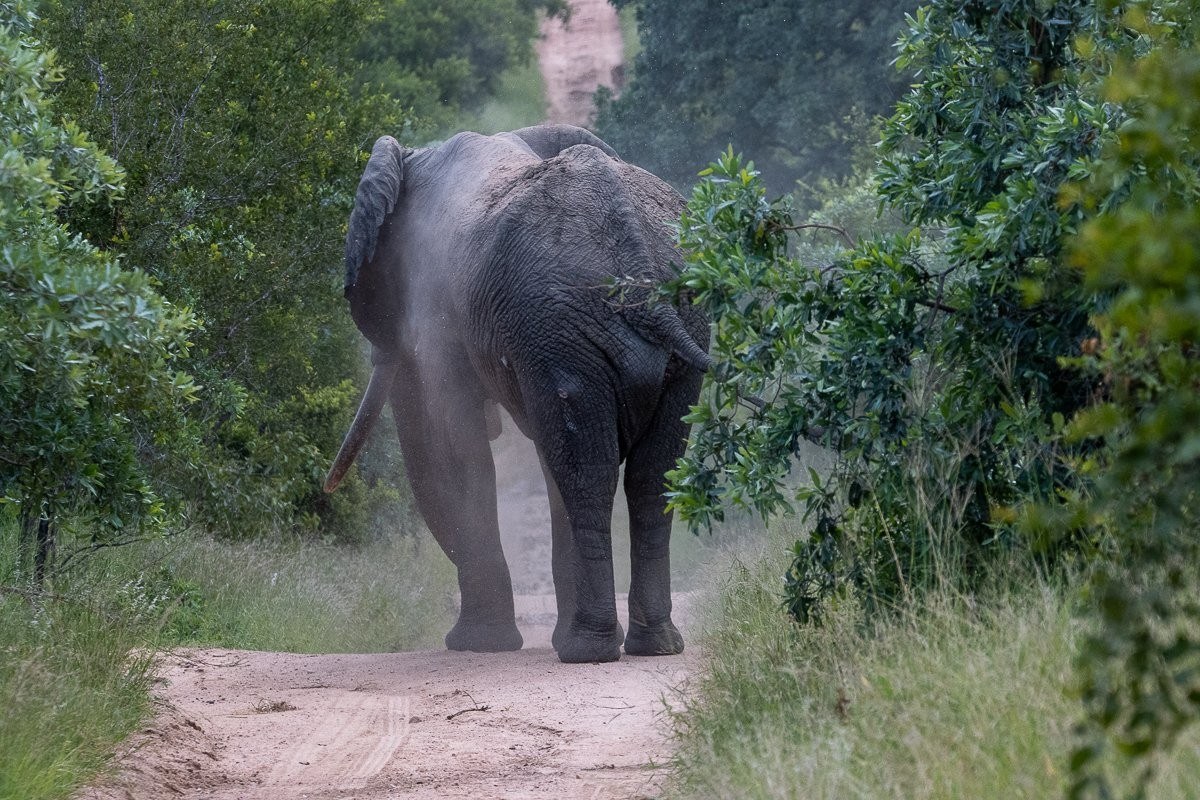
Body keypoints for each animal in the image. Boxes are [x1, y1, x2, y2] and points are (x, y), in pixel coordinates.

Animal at [323, 123, 710, 663]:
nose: (326, 488)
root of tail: (632, 243)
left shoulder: (439, 317)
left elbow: (449, 448)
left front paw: (476, 646)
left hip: (565, 330)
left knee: (587, 474)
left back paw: (585, 651)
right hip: (656, 322)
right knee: (649, 475)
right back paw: (652, 646)